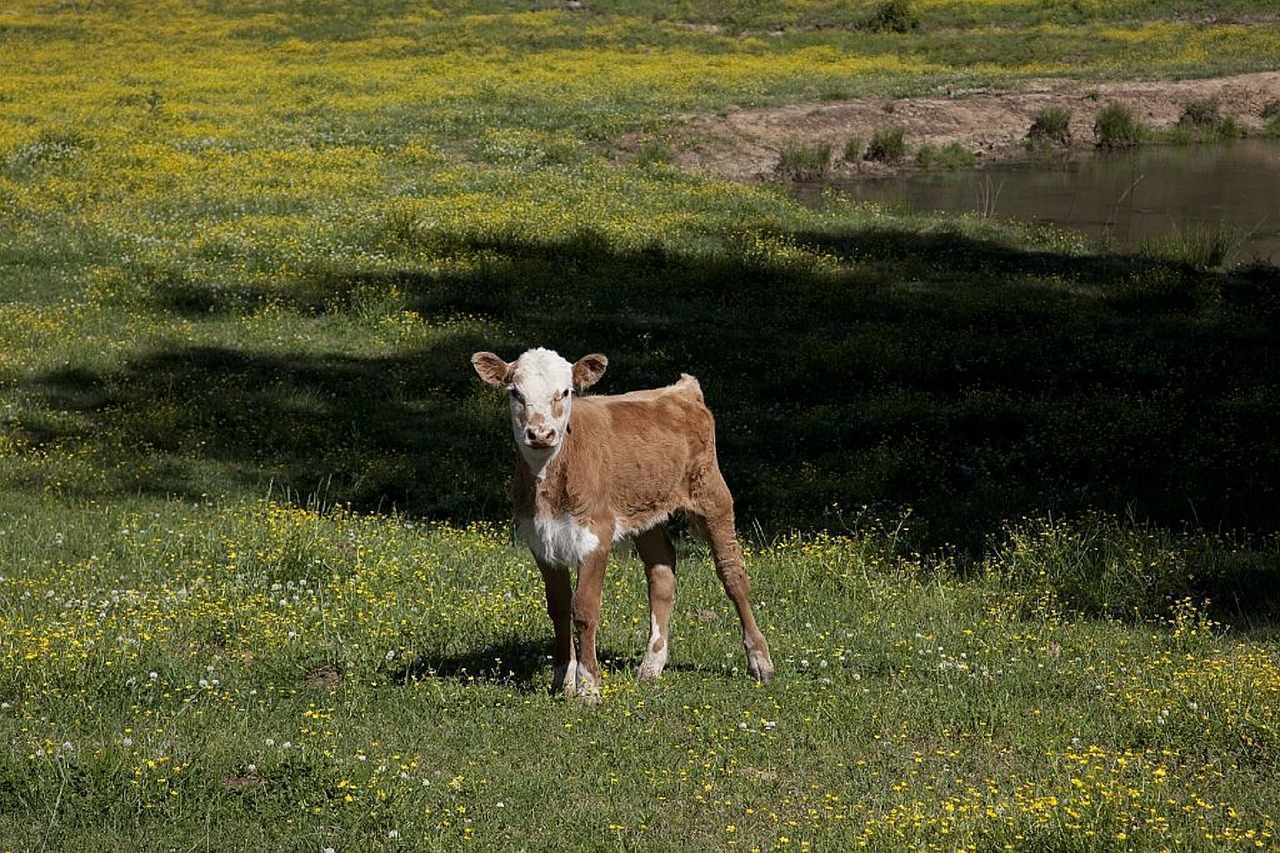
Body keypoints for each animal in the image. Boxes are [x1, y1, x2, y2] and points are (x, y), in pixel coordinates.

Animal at [468, 345, 768, 696]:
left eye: (566, 392)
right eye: (515, 392)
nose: (540, 433)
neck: (550, 480)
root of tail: (680, 391)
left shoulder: (596, 533)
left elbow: (584, 609)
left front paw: (588, 687)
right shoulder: (540, 539)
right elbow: (558, 607)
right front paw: (562, 679)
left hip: (712, 495)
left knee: (732, 572)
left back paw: (760, 660)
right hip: (647, 512)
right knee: (662, 571)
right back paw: (652, 664)